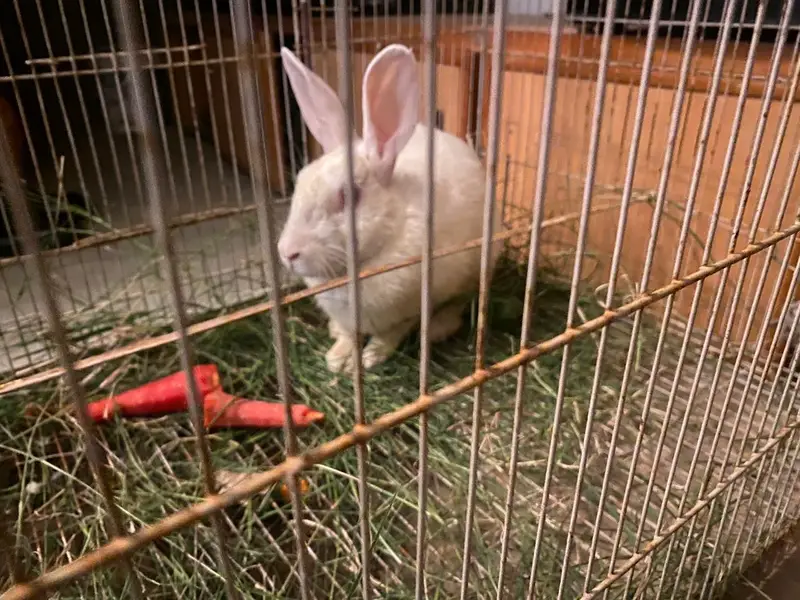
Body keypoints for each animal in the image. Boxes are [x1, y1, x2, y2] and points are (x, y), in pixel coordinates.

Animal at [277, 44, 503, 373]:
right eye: (300, 180)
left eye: (349, 195)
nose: (287, 252)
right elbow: (348, 333)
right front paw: (337, 357)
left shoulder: (409, 309)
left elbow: (390, 334)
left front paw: (368, 358)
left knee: (460, 305)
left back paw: (438, 328)